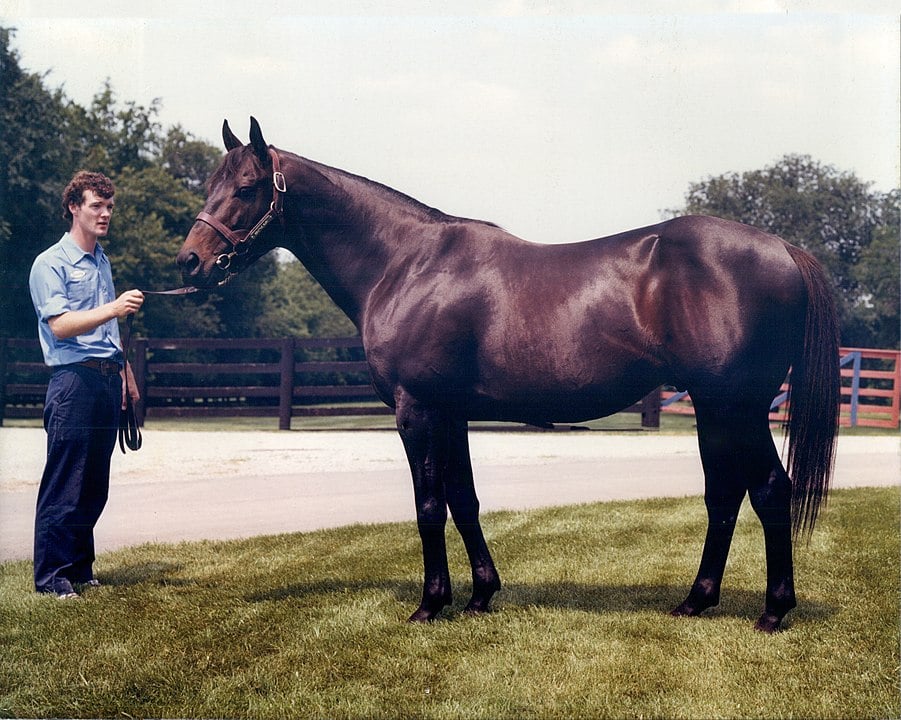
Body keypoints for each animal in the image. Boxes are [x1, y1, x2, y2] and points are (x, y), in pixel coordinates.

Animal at [176, 116, 836, 632]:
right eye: (211, 184)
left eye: (247, 187)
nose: (190, 262)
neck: (405, 263)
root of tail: (783, 249)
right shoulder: (450, 412)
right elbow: (463, 499)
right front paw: (479, 596)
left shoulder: (416, 409)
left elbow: (428, 504)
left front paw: (429, 605)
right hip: (714, 408)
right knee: (724, 495)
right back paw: (696, 602)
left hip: (737, 406)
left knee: (769, 490)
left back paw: (773, 611)